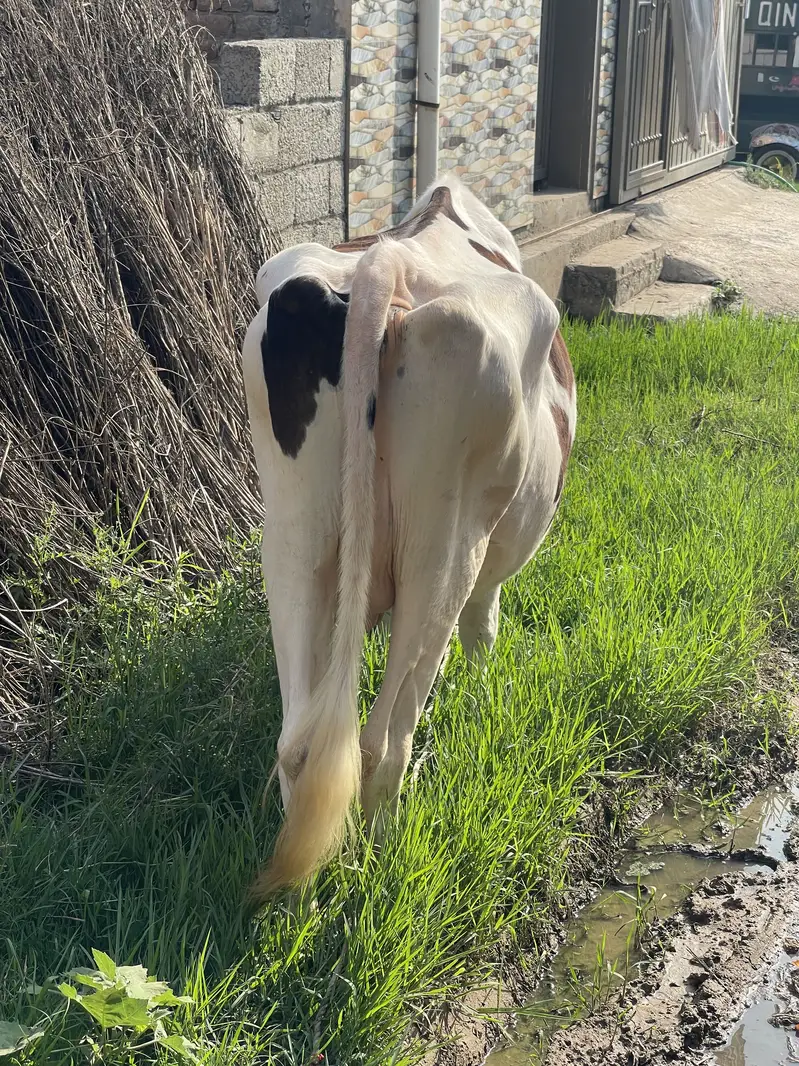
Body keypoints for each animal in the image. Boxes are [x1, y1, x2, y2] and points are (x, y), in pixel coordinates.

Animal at [241, 176, 576, 901]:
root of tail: (385, 260)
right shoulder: (487, 572)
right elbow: (482, 629)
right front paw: (479, 695)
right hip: (445, 546)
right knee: (382, 741)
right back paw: (381, 857)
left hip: (294, 531)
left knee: (299, 741)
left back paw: (301, 890)